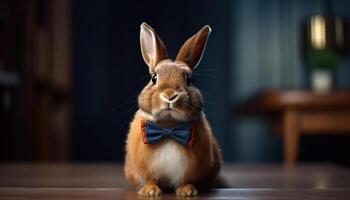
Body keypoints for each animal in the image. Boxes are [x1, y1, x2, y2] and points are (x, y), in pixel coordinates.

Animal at [123, 21, 221, 197]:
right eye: (154, 78)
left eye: (188, 79)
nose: (169, 95)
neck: (169, 127)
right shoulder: (144, 168)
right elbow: (149, 179)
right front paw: (150, 191)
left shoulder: (189, 169)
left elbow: (185, 180)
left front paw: (187, 191)